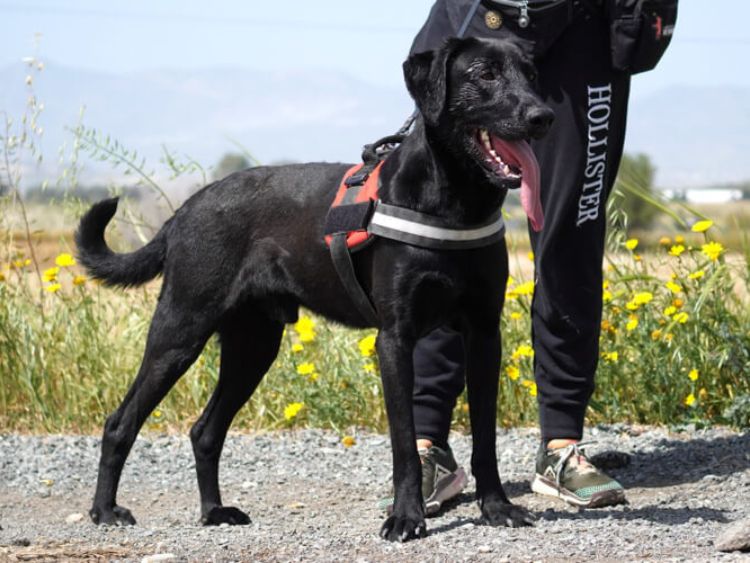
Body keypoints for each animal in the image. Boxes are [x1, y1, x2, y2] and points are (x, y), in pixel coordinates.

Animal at [76, 36, 556, 540]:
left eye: (532, 74)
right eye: (485, 74)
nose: (543, 116)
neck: (453, 202)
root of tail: (186, 209)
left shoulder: (484, 335)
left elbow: (485, 436)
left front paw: (497, 507)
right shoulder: (395, 339)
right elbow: (404, 442)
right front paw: (406, 516)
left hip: (254, 346)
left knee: (205, 432)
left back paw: (214, 511)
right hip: (179, 331)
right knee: (120, 422)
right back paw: (105, 510)